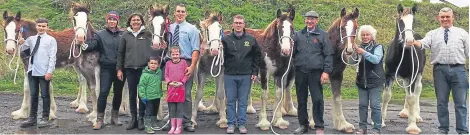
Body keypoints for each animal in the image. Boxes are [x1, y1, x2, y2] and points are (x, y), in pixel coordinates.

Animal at [384, 3, 424, 134]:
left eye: (414, 21)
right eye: (400, 21)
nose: (409, 41)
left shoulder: (412, 75)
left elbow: (412, 98)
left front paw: (412, 126)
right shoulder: (389, 75)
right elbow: (387, 96)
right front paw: (380, 121)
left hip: (418, 75)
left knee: (417, 91)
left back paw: (416, 116)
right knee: (407, 91)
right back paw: (405, 112)